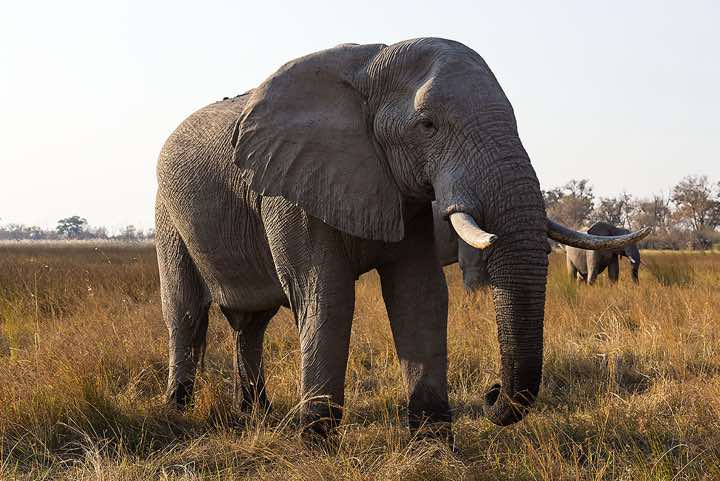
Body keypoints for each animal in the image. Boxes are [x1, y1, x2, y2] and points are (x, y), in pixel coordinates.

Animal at [155, 38, 650, 441]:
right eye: (428, 125)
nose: (491, 393)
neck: (370, 64)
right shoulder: (288, 188)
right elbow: (326, 295)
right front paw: (316, 442)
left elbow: (420, 295)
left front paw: (433, 442)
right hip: (166, 210)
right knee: (184, 310)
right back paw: (179, 410)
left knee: (251, 323)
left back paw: (255, 413)